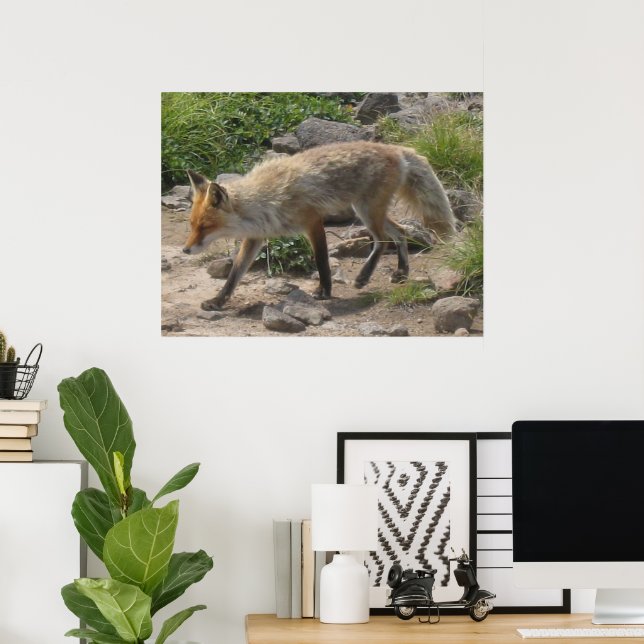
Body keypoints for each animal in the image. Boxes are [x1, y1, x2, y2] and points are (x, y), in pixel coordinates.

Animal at [182, 141, 457, 311]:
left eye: (205, 226)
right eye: (192, 225)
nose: (185, 250)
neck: (264, 201)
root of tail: (396, 148)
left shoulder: (313, 221)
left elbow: (322, 260)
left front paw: (324, 291)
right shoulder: (256, 237)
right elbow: (234, 275)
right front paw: (217, 301)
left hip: (367, 211)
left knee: (382, 240)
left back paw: (363, 277)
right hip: (368, 210)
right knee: (399, 232)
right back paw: (401, 272)